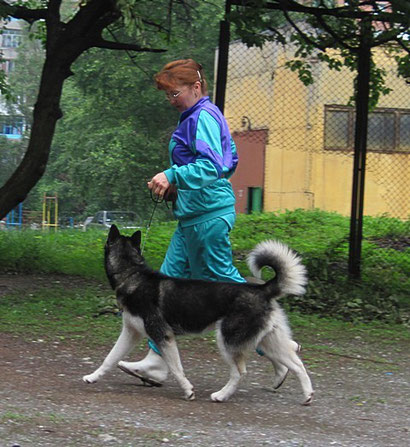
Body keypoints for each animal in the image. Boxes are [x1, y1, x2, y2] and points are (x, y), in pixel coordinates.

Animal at [83, 224, 314, 406]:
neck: (132, 275)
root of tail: (262, 289)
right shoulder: (131, 333)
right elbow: (110, 358)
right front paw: (92, 377)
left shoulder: (163, 335)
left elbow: (177, 369)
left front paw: (188, 391)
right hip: (269, 341)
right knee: (297, 364)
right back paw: (306, 395)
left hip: (226, 340)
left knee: (240, 372)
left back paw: (221, 395)